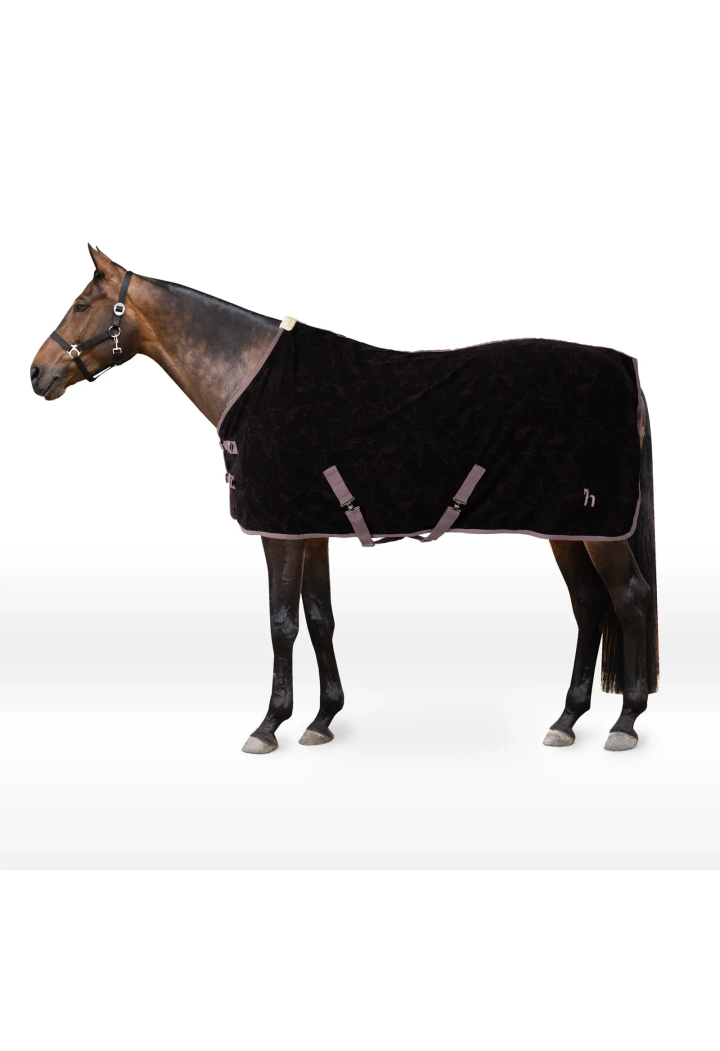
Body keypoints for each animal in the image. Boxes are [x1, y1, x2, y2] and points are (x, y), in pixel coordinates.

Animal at [30, 246, 659, 754]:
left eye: (82, 305)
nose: (37, 373)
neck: (251, 377)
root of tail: (628, 375)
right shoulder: (309, 529)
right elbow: (319, 617)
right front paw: (322, 719)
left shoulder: (277, 530)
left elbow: (282, 621)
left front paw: (269, 726)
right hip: (567, 528)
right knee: (589, 606)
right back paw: (567, 719)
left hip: (595, 529)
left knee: (628, 599)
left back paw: (625, 721)